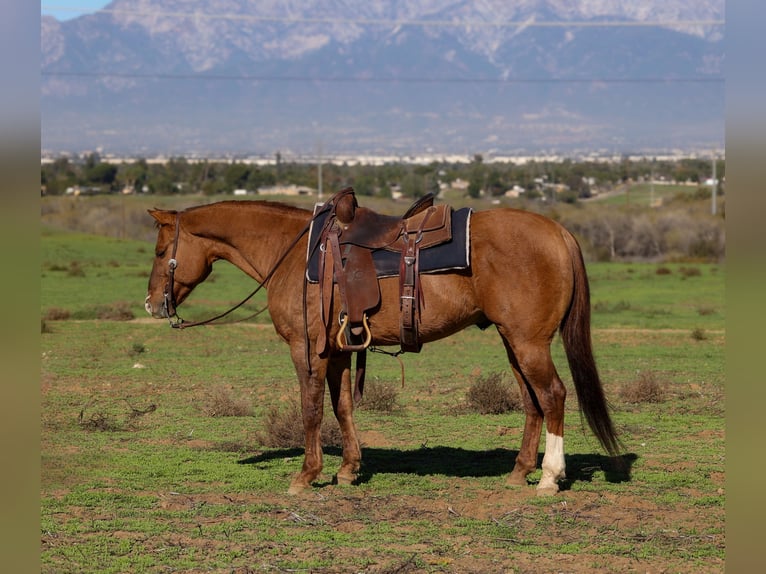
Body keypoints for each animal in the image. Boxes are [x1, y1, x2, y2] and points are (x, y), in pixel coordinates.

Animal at [144, 193, 620, 495]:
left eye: (160, 250)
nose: (151, 303)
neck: (294, 254)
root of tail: (558, 232)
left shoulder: (306, 349)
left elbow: (311, 408)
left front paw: (306, 475)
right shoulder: (338, 351)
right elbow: (342, 407)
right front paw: (348, 470)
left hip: (529, 342)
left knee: (553, 395)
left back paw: (550, 477)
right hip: (513, 342)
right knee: (532, 401)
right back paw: (519, 473)